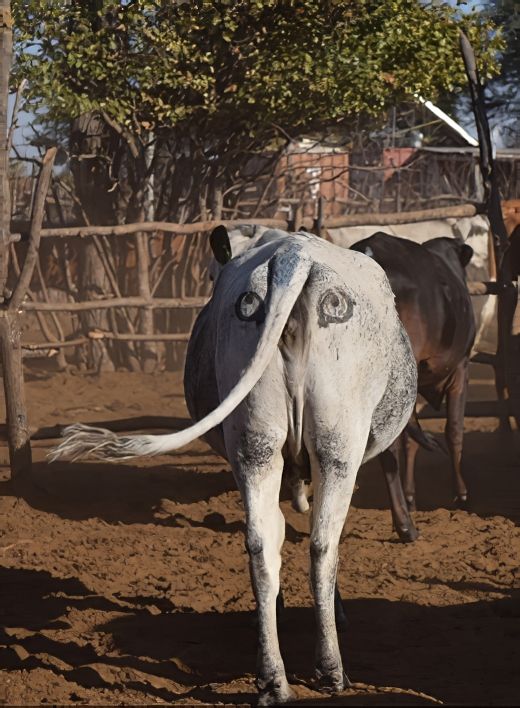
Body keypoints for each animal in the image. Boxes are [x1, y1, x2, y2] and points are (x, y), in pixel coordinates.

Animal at [50, 230, 420, 704]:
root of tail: (294, 255)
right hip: (338, 446)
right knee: (322, 544)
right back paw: (330, 669)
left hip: (255, 444)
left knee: (261, 545)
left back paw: (273, 678)